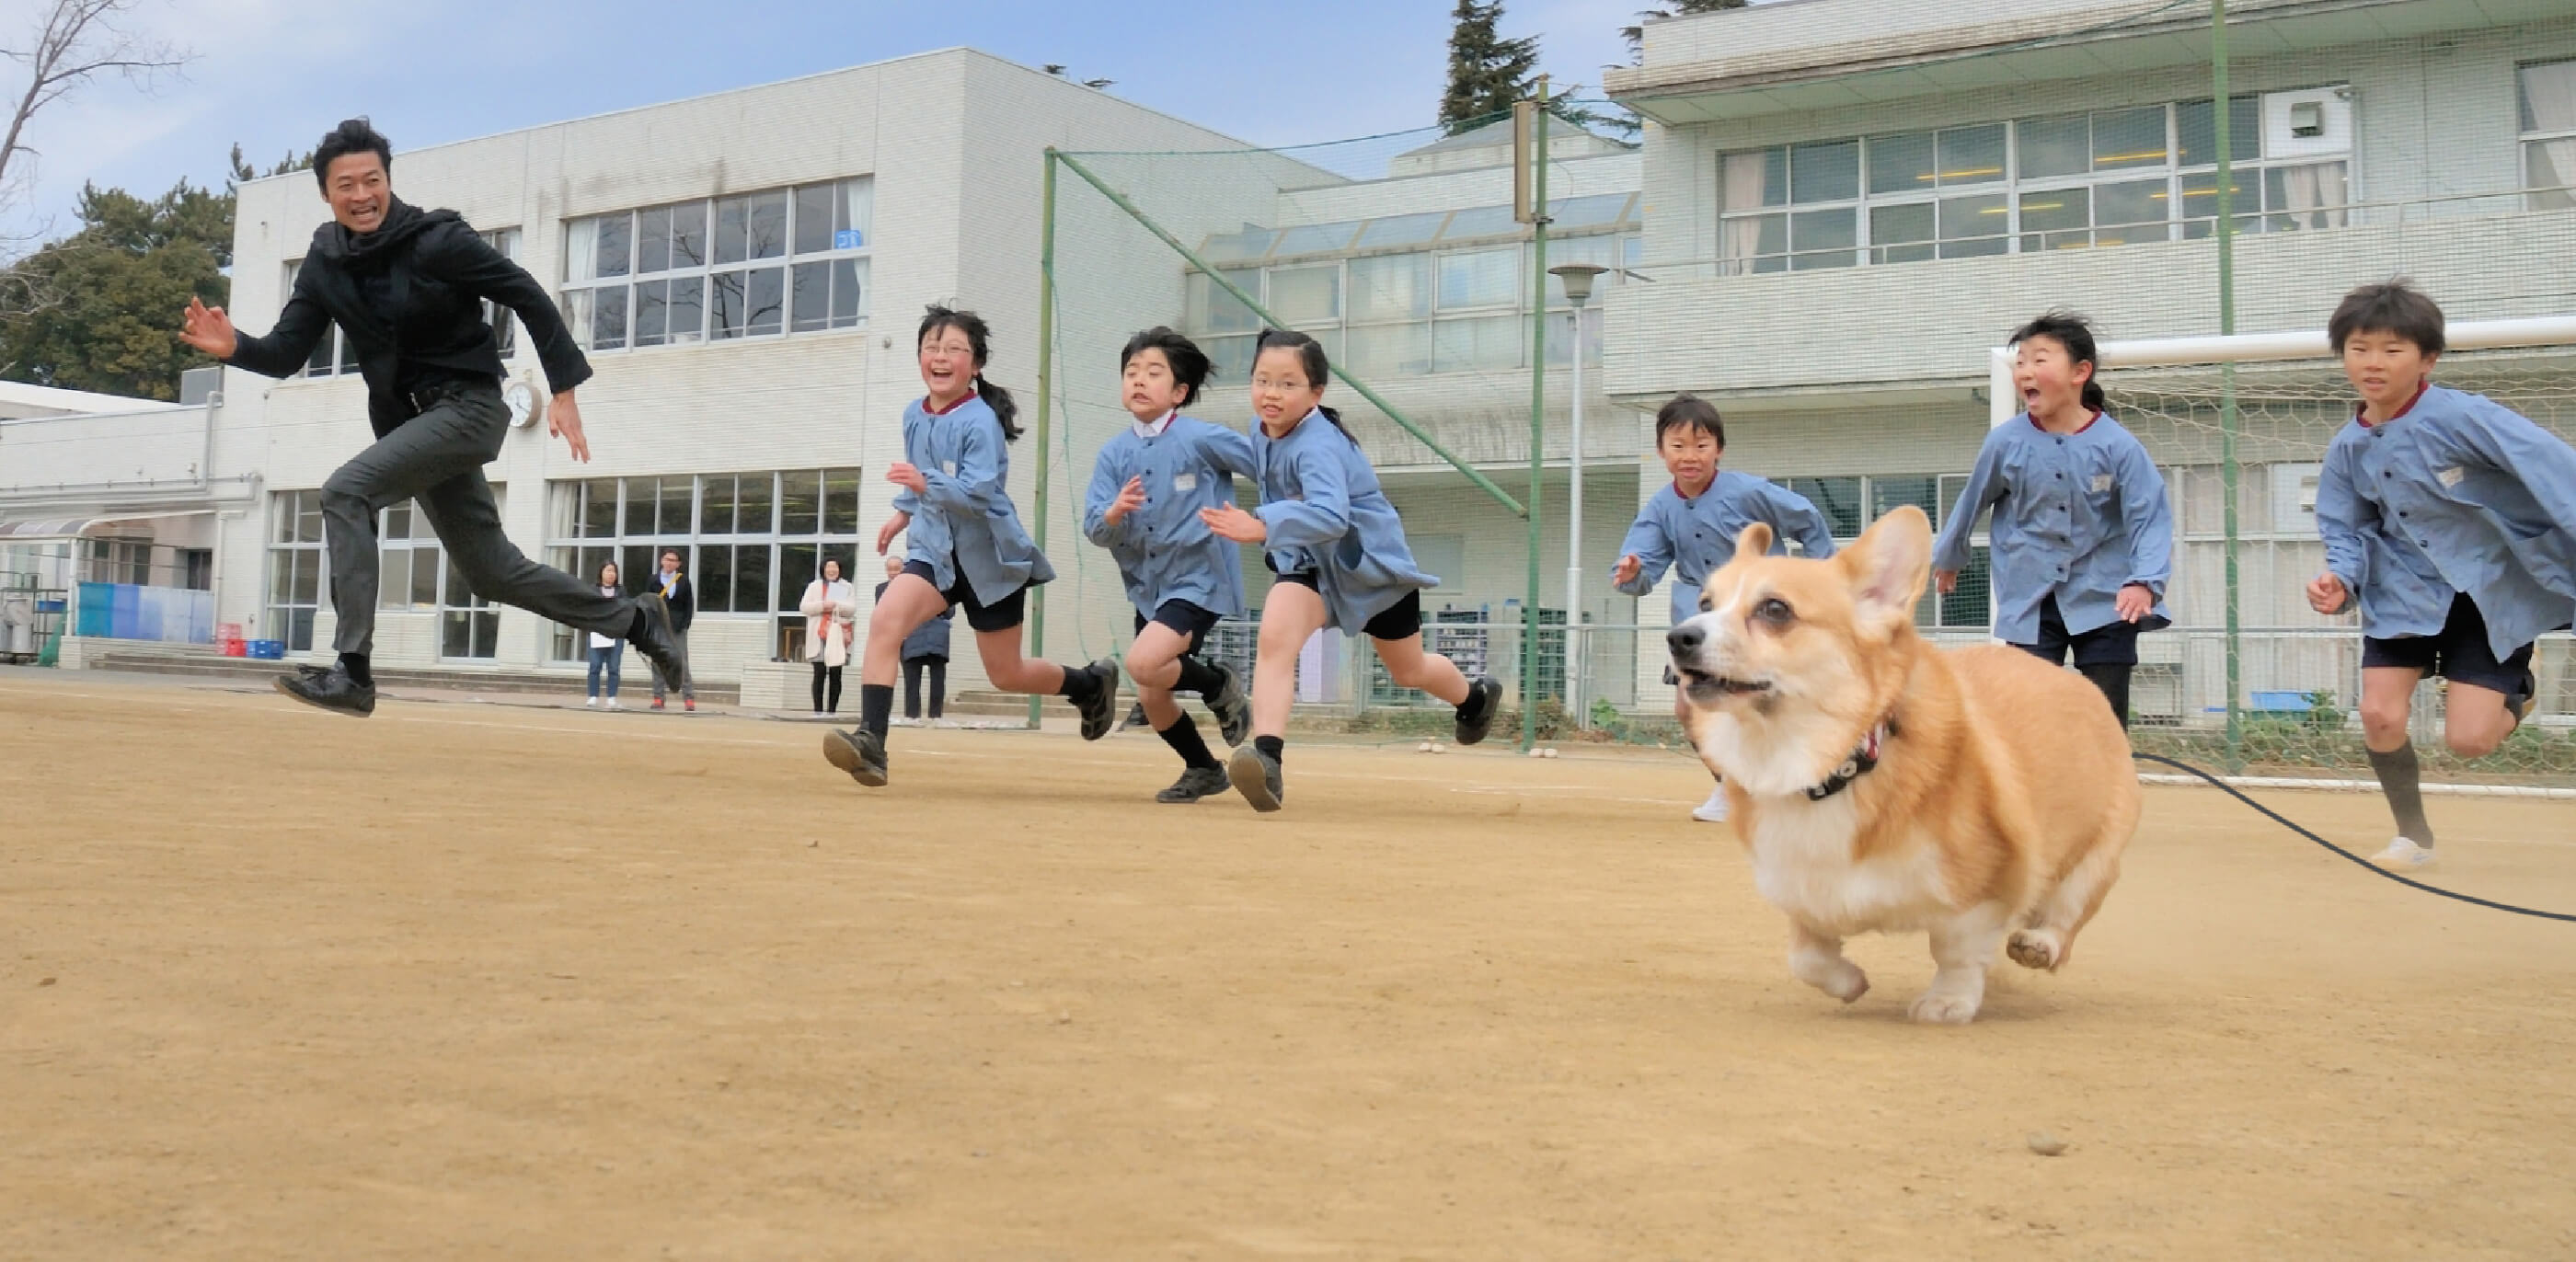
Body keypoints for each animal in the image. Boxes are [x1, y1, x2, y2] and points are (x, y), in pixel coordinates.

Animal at [1669, 504, 2133, 1025]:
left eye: (1775, 609)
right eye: (1705, 601)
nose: (1678, 637)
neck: (1835, 766)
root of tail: (2076, 683)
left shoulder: (1979, 891)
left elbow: (1955, 950)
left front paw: (1948, 1001)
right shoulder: (1801, 890)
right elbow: (1806, 958)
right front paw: (1850, 983)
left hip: (2096, 856)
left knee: (2066, 916)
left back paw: (2040, 944)